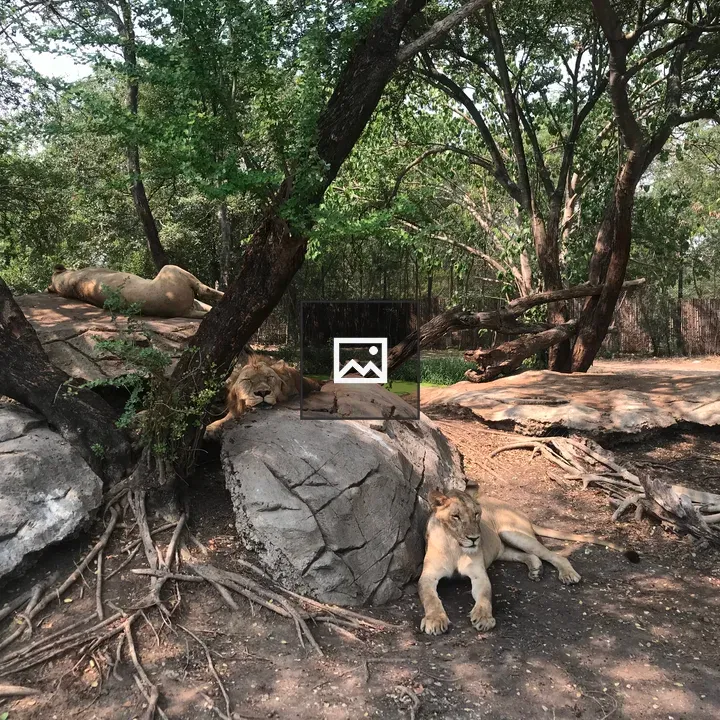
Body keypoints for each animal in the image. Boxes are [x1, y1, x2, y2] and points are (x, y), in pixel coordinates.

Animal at [418, 489, 639, 635]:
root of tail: (519, 511)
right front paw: (435, 620)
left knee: (554, 555)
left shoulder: (479, 574)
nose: (474, 538)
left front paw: (483, 618)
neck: (455, 545)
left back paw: (567, 574)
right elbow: (431, 599)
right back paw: (535, 570)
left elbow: (484, 596)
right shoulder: (427, 577)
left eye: (476, 514)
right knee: (527, 555)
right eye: (455, 516)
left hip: (513, 533)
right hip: (502, 546)